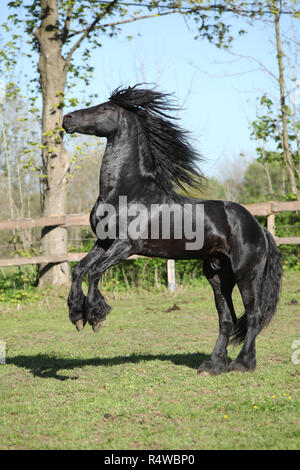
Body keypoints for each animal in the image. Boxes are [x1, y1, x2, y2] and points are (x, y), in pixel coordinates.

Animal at [62, 86, 282, 376]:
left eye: (104, 108)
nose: (67, 118)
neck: (127, 192)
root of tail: (258, 227)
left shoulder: (125, 245)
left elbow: (95, 272)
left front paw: (97, 316)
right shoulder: (103, 241)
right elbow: (79, 269)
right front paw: (77, 316)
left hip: (247, 273)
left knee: (254, 316)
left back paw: (242, 364)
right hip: (217, 276)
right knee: (227, 319)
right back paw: (212, 365)